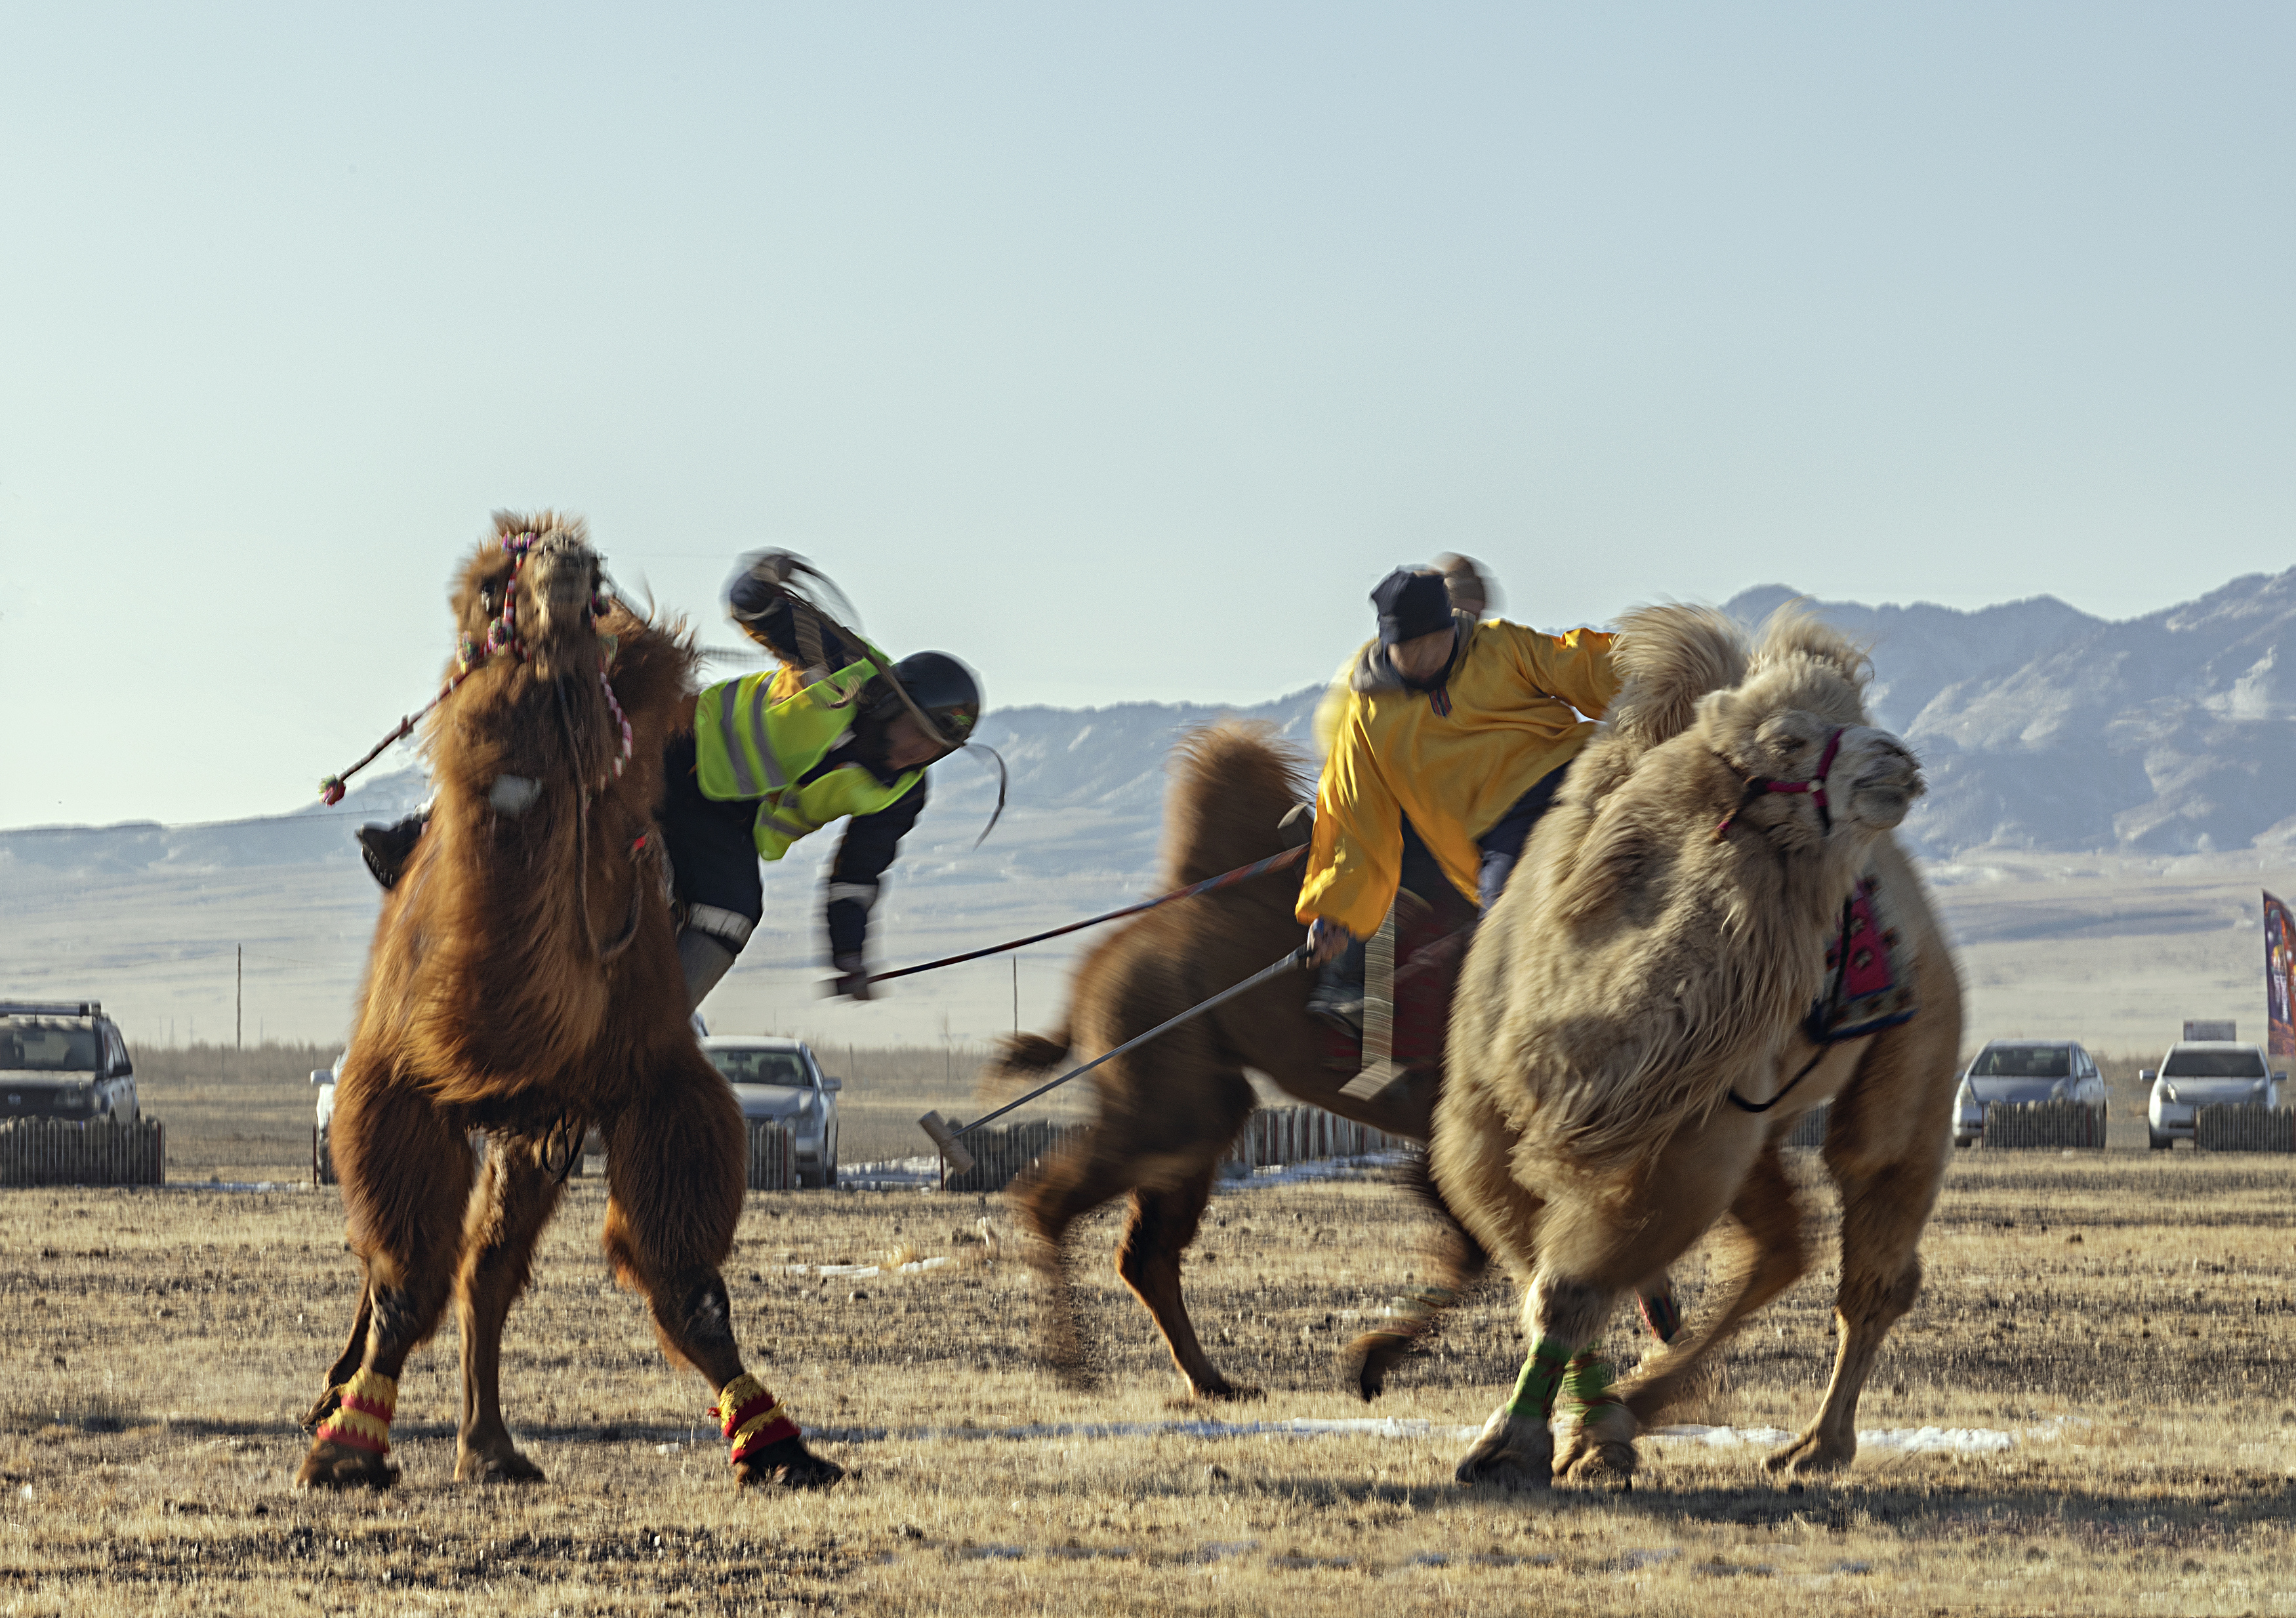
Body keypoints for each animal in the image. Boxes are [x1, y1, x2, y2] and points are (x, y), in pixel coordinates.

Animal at [295, 512, 840, 1491]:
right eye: (486, 588)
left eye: (593, 590)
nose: (564, 558)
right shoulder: (394, 1087)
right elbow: (402, 1283)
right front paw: (345, 1446)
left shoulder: (653, 1081)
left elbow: (690, 1286)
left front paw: (778, 1443)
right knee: (428, 1262)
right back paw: (358, 1400)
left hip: (540, 1125)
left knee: (487, 1267)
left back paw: (492, 1447)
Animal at [983, 723, 1691, 1402]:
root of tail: (1100, 963)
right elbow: (1485, 1249)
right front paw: (1370, 1361)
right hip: (1165, 1094)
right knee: (1053, 1203)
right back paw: (1073, 1367)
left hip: (1200, 1103)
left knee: (1146, 1253)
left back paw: (1212, 1381)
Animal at [1433, 603, 1959, 1489]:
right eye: (1788, 739)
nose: (1898, 762)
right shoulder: (1484, 1126)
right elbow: (1535, 1275)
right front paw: (1572, 1432)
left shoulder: (1683, 1139)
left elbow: (1568, 1288)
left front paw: (1530, 1441)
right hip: (1761, 1125)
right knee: (1779, 1251)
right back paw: (1655, 1401)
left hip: (1909, 1053)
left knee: (1869, 1249)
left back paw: (1811, 1444)